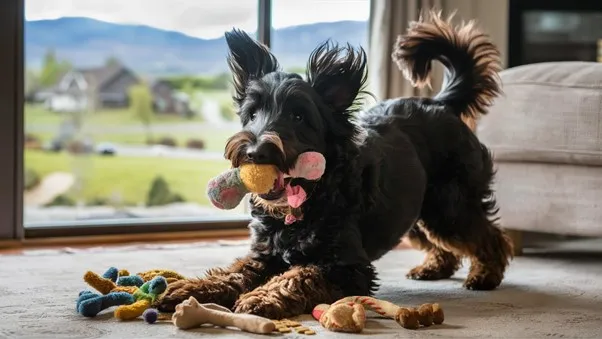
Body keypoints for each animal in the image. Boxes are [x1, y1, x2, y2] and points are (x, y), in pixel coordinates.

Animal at [156, 11, 510, 320]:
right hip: (416, 210)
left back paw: (485, 275)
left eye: (299, 117)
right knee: (442, 242)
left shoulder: (348, 267)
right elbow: (234, 273)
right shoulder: (264, 256)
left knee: (489, 236)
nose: (255, 153)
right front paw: (191, 288)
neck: (311, 198)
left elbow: (297, 276)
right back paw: (434, 268)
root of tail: (439, 103)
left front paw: (263, 297)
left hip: (450, 206)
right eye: (252, 114)